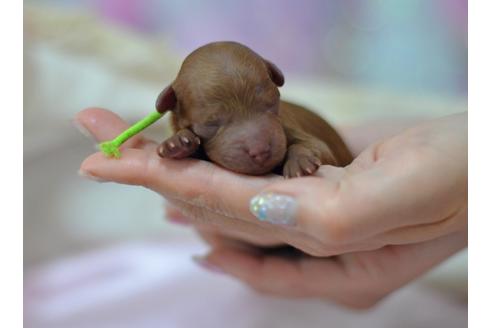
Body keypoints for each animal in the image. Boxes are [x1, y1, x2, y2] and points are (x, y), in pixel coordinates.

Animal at [156, 43, 352, 179]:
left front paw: (300, 162)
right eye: (210, 124)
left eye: (272, 103)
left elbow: (316, 146)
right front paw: (177, 143)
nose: (260, 151)